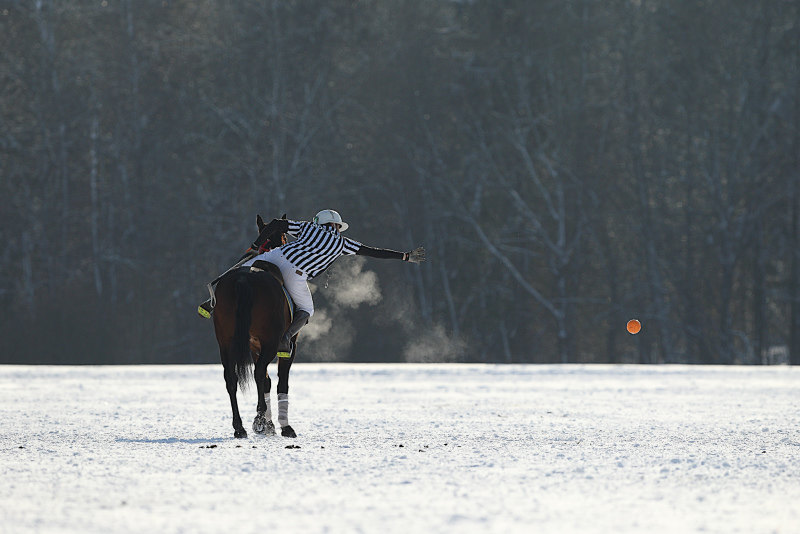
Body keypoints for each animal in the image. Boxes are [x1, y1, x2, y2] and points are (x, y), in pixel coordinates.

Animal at [211, 217, 298, 440]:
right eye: (285, 237)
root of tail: (243, 279)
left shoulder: (253, 346)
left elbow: (266, 381)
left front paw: (270, 425)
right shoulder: (287, 344)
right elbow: (280, 381)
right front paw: (282, 426)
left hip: (225, 340)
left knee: (230, 377)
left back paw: (239, 427)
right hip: (271, 341)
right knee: (258, 372)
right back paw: (258, 418)